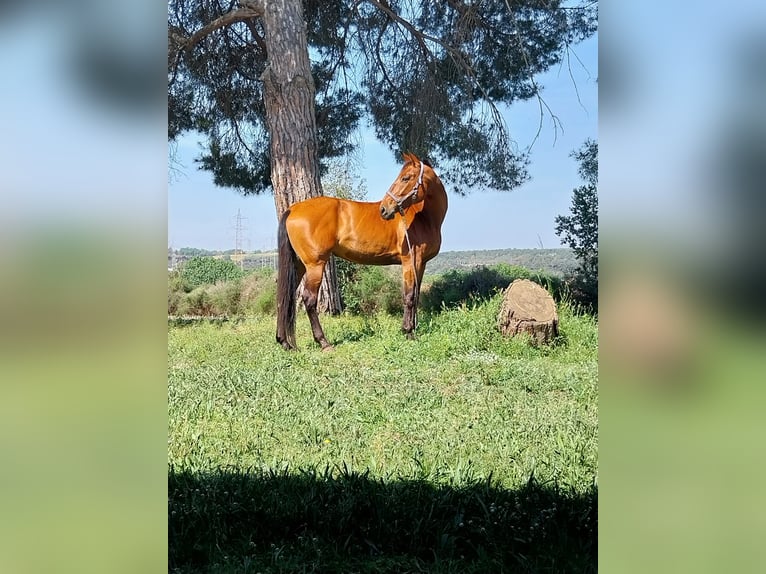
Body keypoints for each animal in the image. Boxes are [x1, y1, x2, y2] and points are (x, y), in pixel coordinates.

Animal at [276, 152, 448, 350]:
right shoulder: (409, 262)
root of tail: (292, 209)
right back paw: (324, 342)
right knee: (309, 300)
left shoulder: (421, 264)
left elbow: (416, 294)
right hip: (314, 265)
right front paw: (408, 332)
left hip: (298, 266)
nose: (384, 209)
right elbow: (409, 296)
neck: (423, 217)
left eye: (405, 178)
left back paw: (284, 342)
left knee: (283, 299)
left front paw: (413, 328)